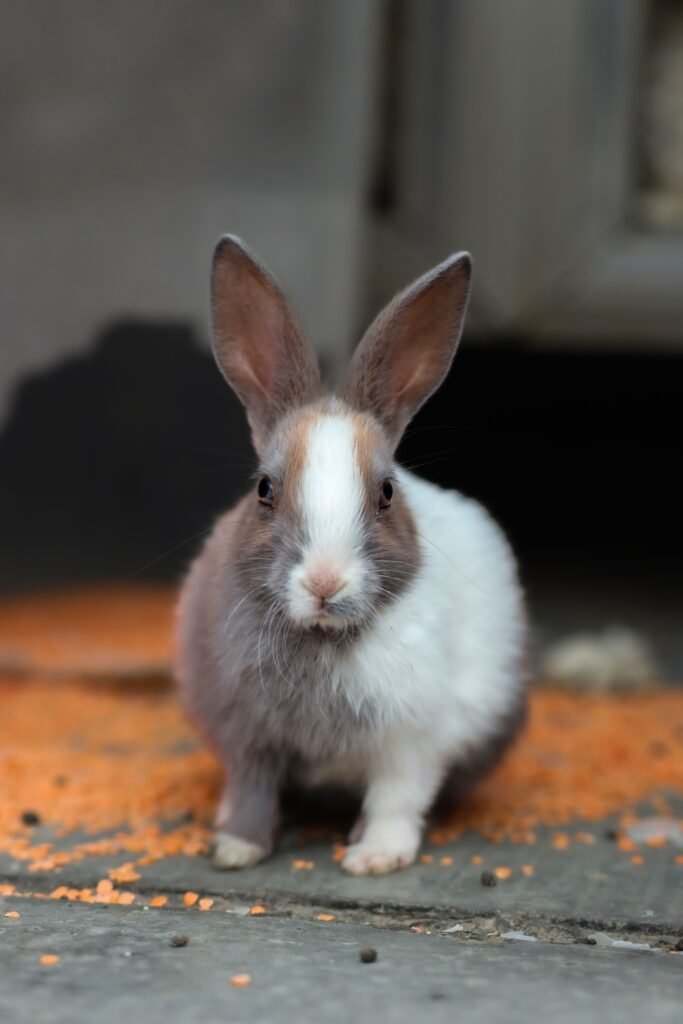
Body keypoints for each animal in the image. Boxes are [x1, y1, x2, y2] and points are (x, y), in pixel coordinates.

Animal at [176, 235, 526, 876]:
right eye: (264, 489)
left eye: (386, 492)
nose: (325, 582)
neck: (319, 638)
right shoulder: (248, 740)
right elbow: (252, 792)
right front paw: (236, 849)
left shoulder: (411, 741)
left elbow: (396, 797)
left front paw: (375, 859)